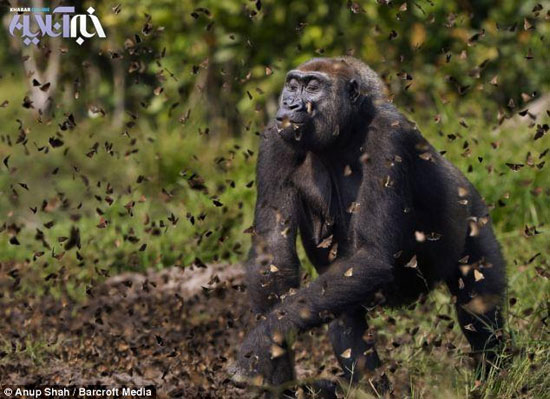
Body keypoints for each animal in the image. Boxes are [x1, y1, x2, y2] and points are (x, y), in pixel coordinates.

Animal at [231, 56, 506, 396]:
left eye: (312, 86)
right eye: (292, 85)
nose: (289, 104)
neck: (347, 131)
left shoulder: (390, 135)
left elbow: (373, 254)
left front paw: (266, 337)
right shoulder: (275, 137)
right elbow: (273, 252)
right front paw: (278, 368)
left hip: (475, 215)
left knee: (479, 303)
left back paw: (493, 377)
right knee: (342, 311)